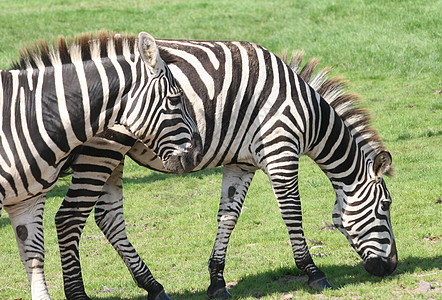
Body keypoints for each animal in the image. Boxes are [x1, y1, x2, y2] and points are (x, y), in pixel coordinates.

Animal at [55, 38, 398, 298]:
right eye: (386, 205)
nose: (392, 267)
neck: (308, 115)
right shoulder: (281, 149)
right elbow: (292, 211)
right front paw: (313, 272)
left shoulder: (241, 163)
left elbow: (228, 217)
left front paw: (217, 281)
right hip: (102, 150)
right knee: (70, 218)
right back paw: (81, 292)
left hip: (113, 156)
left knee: (108, 217)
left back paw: (153, 286)